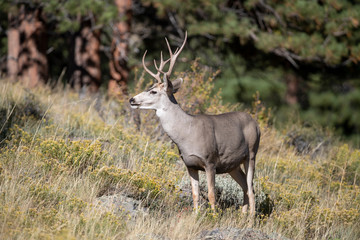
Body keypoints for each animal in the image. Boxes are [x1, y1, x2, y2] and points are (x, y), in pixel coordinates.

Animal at [131, 32, 260, 214]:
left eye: (153, 91)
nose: (132, 99)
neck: (187, 133)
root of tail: (256, 123)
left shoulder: (210, 161)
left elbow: (212, 194)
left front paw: (213, 216)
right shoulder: (190, 164)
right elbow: (195, 194)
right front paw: (196, 215)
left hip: (252, 153)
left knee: (251, 187)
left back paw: (251, 218)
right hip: (233, 165)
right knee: (245, 187)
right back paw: (242, 216)